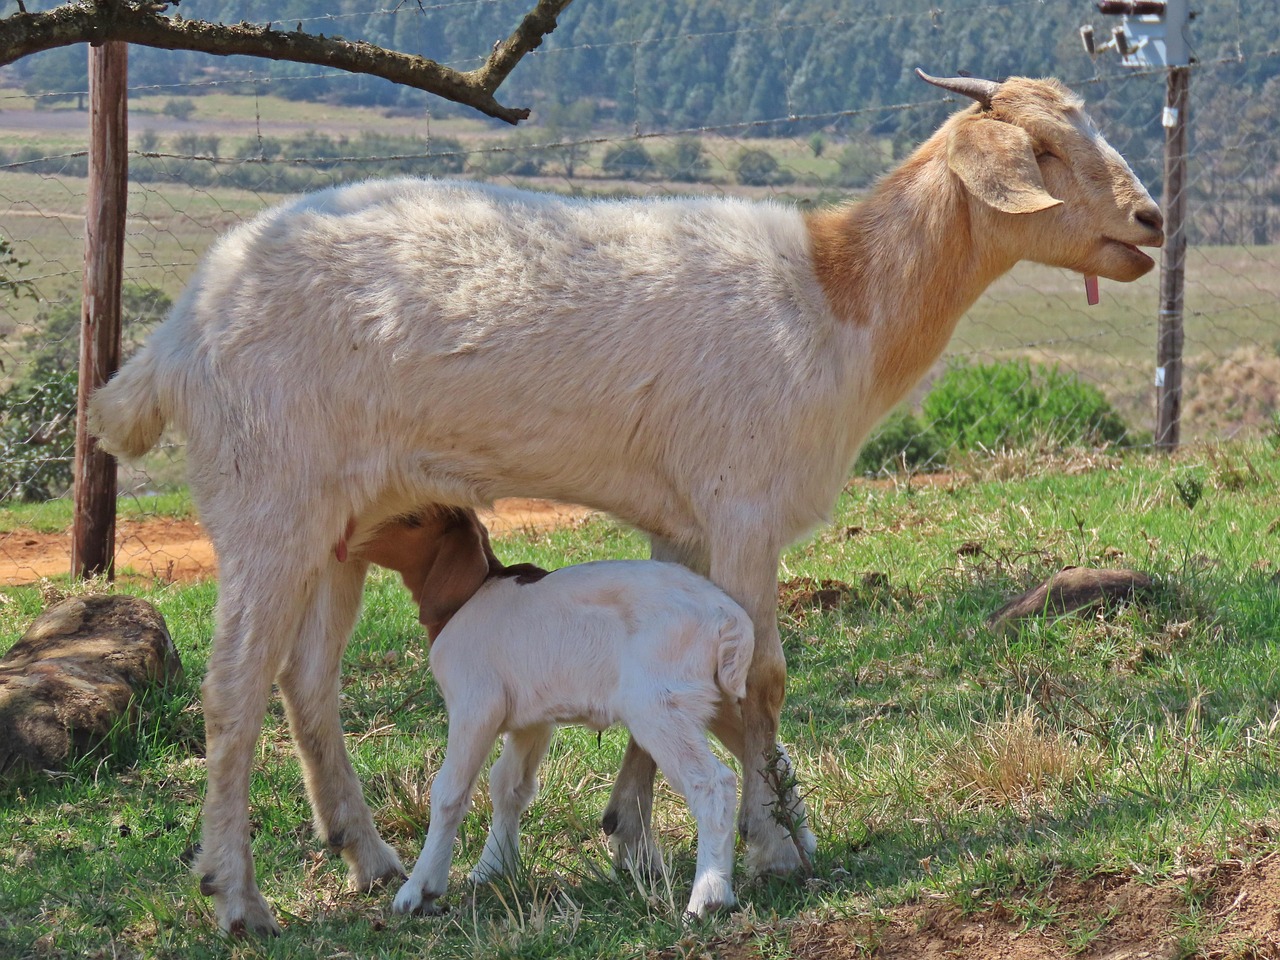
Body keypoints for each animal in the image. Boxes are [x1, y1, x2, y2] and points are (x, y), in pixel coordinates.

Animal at [88, 70, 1163, 935]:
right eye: (1044, 150)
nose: (1150, 224)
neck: (834, 299)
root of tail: (174, 337)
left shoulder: (681, 524)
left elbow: (681, 691)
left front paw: (634, 837)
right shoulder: (741, 506)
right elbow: (760, 679)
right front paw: (773, 846)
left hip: (340, 526)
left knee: (305, 682)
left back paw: (369, 857)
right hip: (263, 501)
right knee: (232, 691)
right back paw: (238, 897)